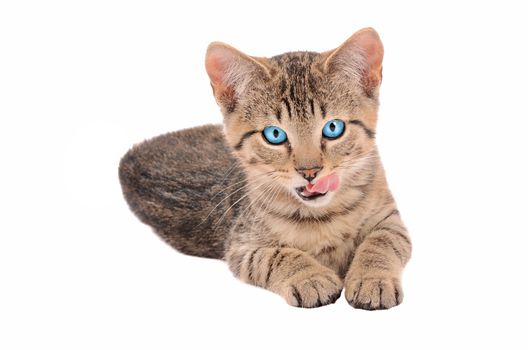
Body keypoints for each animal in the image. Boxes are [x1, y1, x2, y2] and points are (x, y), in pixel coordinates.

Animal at [120, 28, 412, 310]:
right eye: (274, 134)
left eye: (333, 128)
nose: (310, 172)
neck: (321, 215)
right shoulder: (241, 247)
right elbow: (276, 255)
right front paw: (310, 277)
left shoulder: (390, 218)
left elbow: (382, 241)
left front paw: (372, 279)